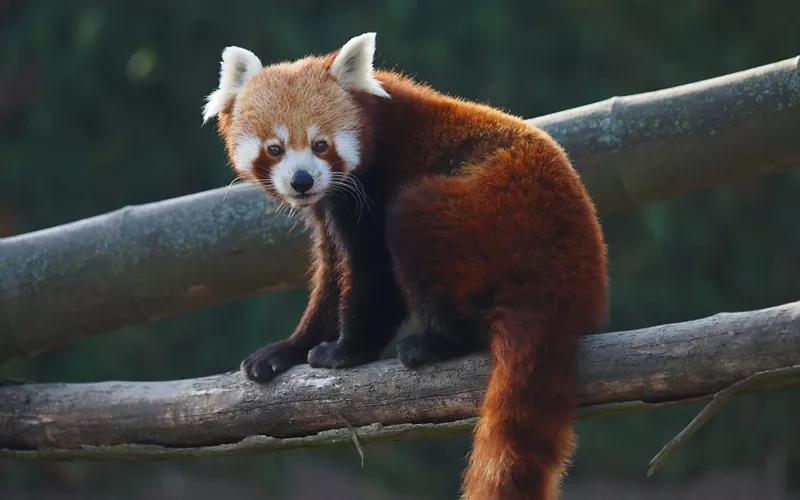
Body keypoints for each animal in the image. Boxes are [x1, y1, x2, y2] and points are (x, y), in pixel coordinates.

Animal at [203, 32, 608, 500]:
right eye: (275, 148)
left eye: (321, 145)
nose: (301, 181)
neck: (377, 125)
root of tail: (565, 282)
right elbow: (330, 279)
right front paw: (285, 351)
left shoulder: (373, 190)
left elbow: (372, 276)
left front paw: (346, 352)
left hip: (482, 220)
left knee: (413, 218)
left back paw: (435, 343)